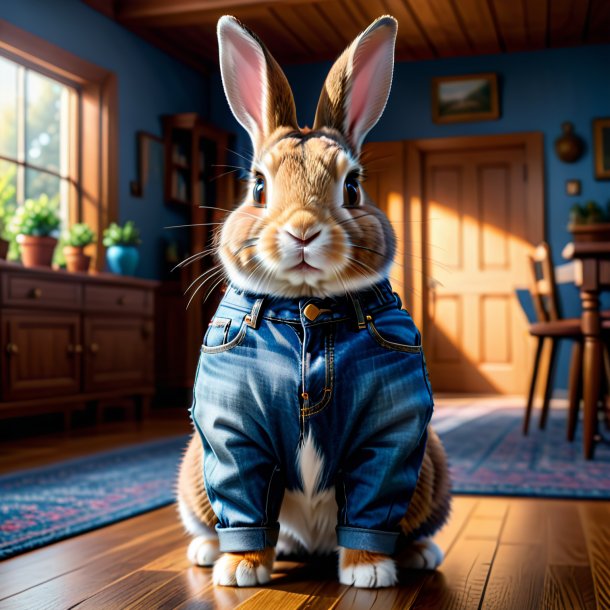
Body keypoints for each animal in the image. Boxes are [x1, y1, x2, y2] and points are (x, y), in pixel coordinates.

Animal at [176, 13, 452, 584]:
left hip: (430, 468)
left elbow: (372, 506)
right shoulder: (235, 437)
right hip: (194, 473)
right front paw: (242, 571)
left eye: (353, 188)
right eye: (258, 187)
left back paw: (418, 555)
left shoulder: (389, 436)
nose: (303, 230)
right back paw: (210, 554)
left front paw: (369, 572)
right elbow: (245, 502)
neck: (306, 311)